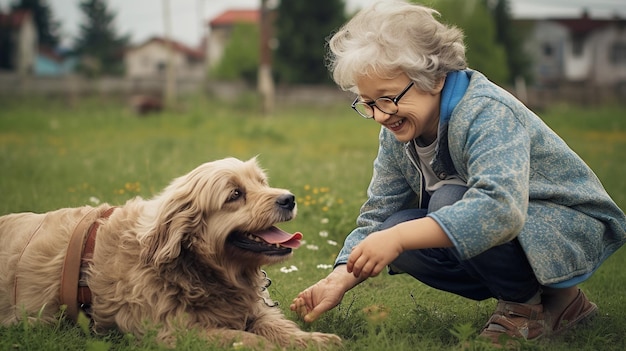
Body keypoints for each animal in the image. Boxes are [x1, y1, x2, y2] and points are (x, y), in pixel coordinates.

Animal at [0, 159, 342, 350]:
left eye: (261, 183)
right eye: (235, 194)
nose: (289, 199)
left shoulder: (255, 311)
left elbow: (279, 327)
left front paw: (315, 341)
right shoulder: (170, 331)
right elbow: (246, 338)